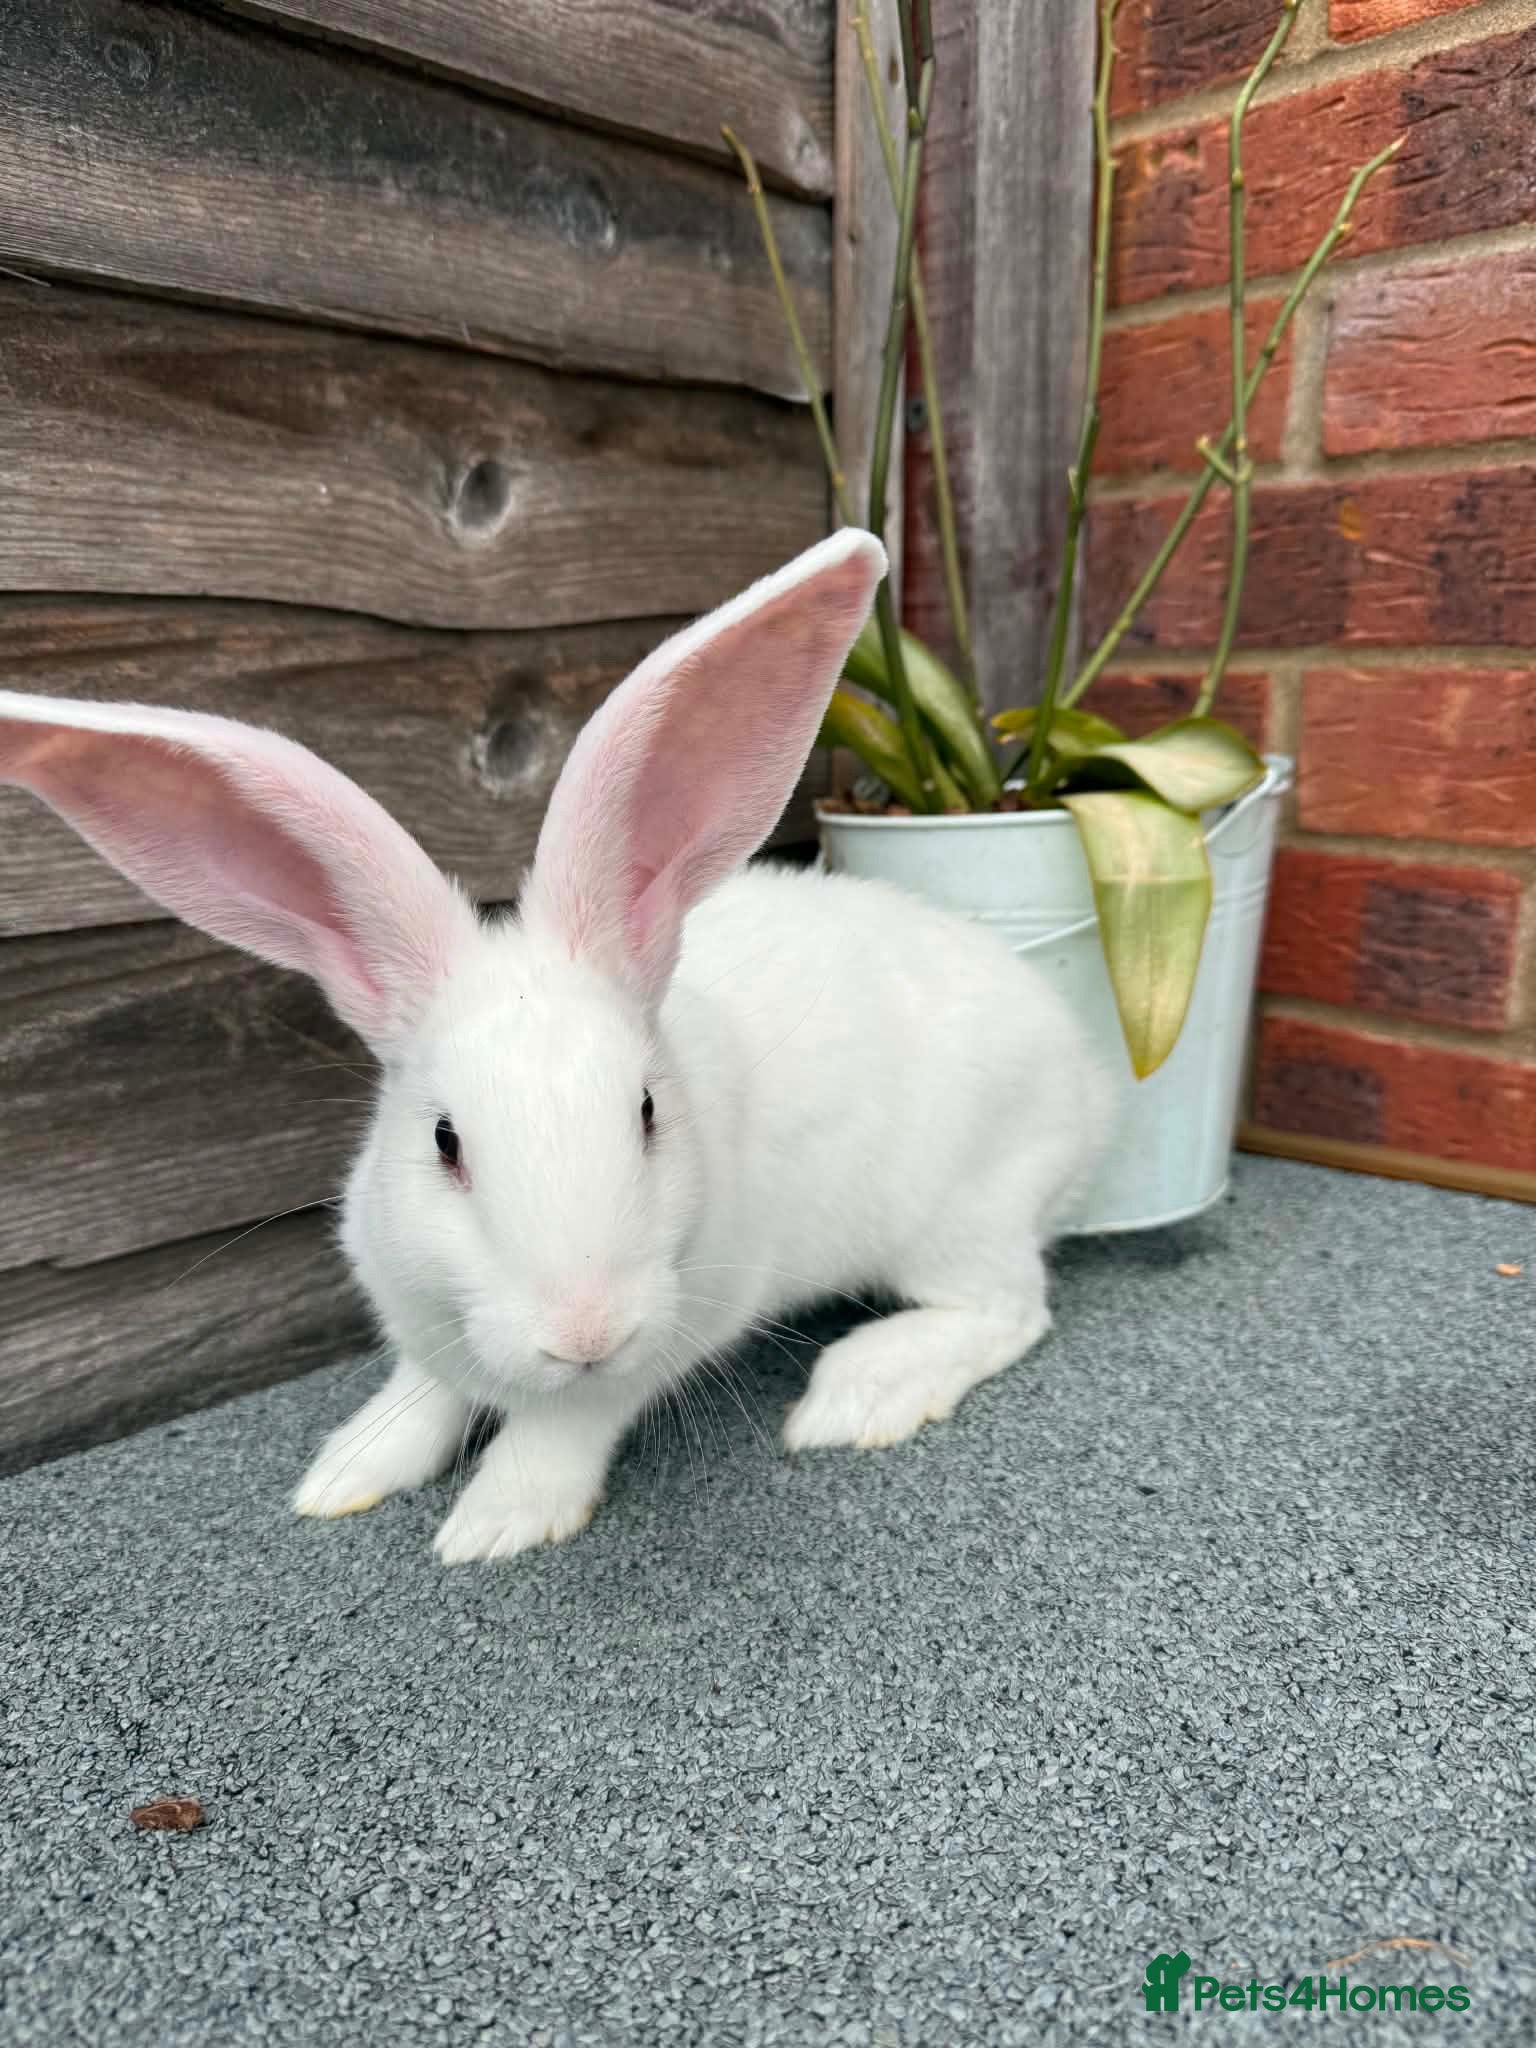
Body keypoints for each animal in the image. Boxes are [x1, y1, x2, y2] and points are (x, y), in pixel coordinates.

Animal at [0, 530, 1111, 1562]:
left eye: (647, 1113)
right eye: (444, 1140)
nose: (585, 1331)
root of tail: (1089, 1074)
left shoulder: (668, 1334)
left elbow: (564, 1426)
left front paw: (498, 1520)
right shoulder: (419, 1322)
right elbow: (421, 1392)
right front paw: (346, 1472)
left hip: (959, 1210)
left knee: (1011, 1308)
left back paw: (860, 1393)